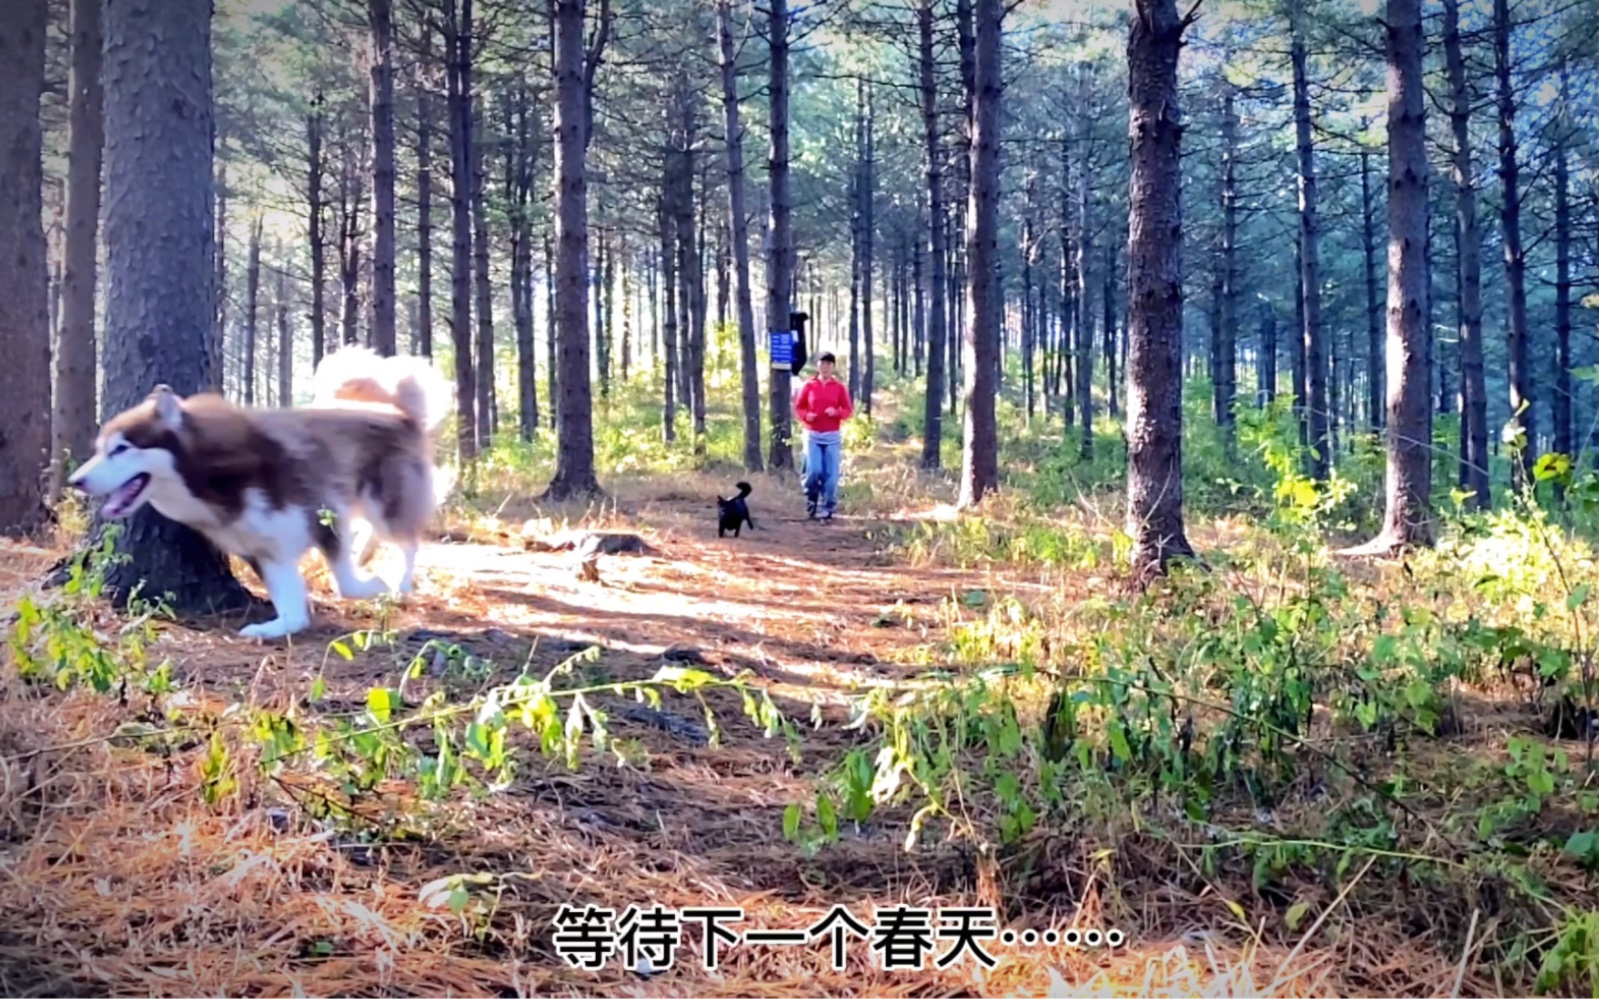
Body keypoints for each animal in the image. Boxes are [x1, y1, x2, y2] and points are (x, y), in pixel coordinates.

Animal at [66, 345, 454, 639]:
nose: (75, 481)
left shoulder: (323, 514)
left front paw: (376, 586)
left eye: (121, 449)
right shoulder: (265, 551)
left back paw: (399, 582)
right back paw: (365, 553)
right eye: (99, 449)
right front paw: (274, 628)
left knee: (408, 541)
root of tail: (398, 412)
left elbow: (346, 584)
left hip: (384, 502)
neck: (212, 479)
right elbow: (293, 613)